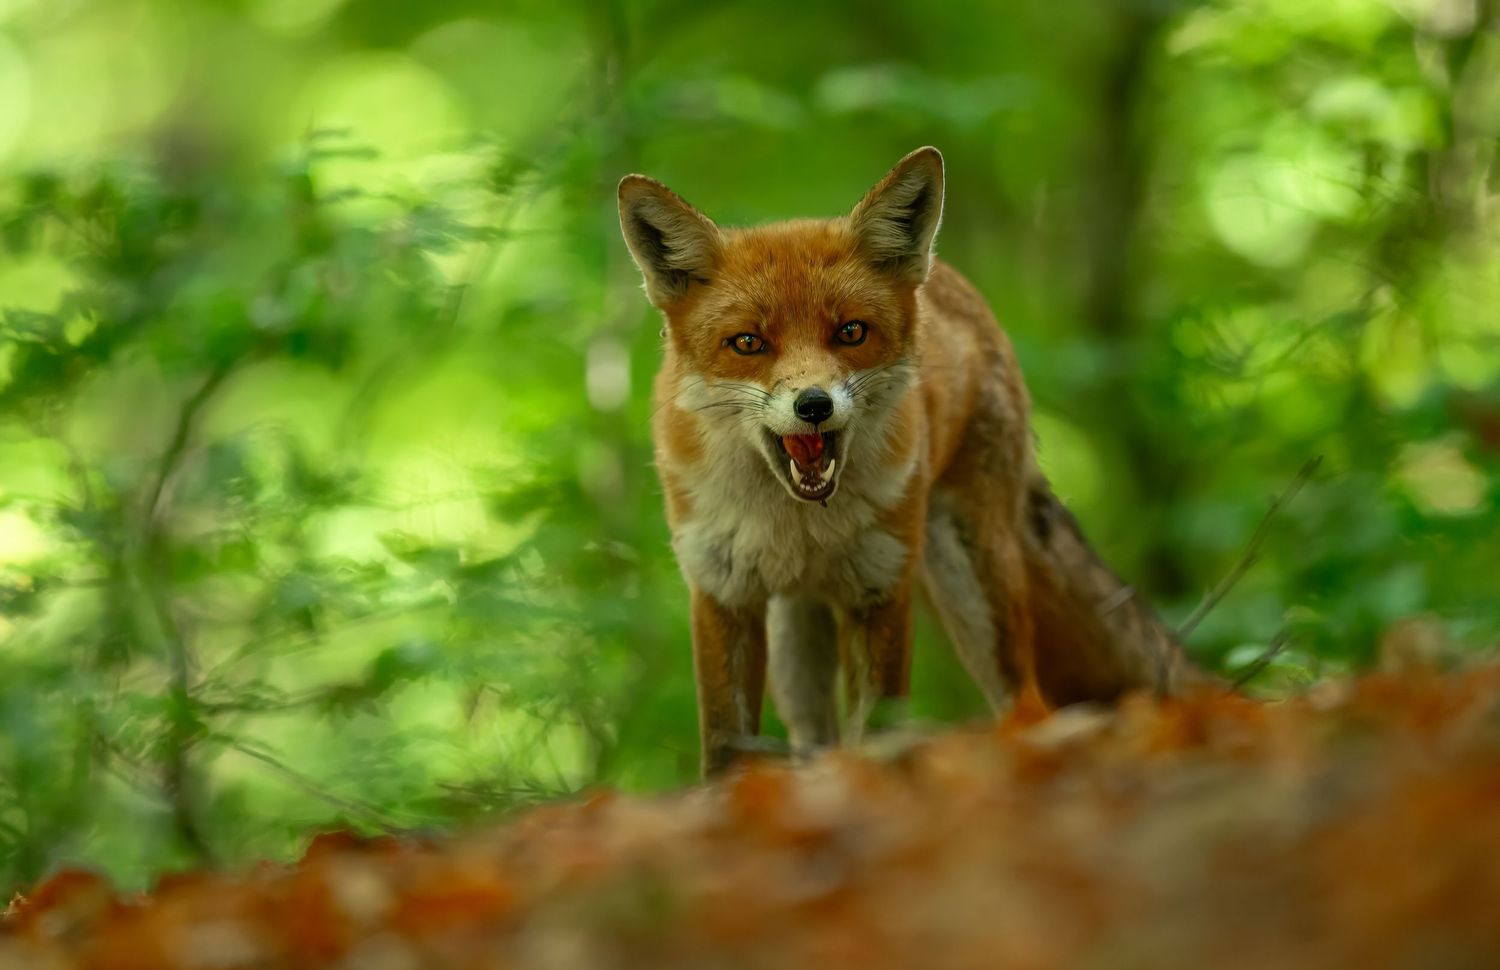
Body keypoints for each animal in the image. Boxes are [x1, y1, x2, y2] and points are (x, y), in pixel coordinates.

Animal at [619, 147, 1196, 776]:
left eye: (851, 332)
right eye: (748, 343)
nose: (813, 405)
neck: (800, 524)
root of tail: (955, 283)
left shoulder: (880, 585)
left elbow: (876, 730)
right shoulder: (723, 592)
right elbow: (727, 746)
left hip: (968, 575)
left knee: (1028, 702)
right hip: (797, 628)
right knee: (814, 734)